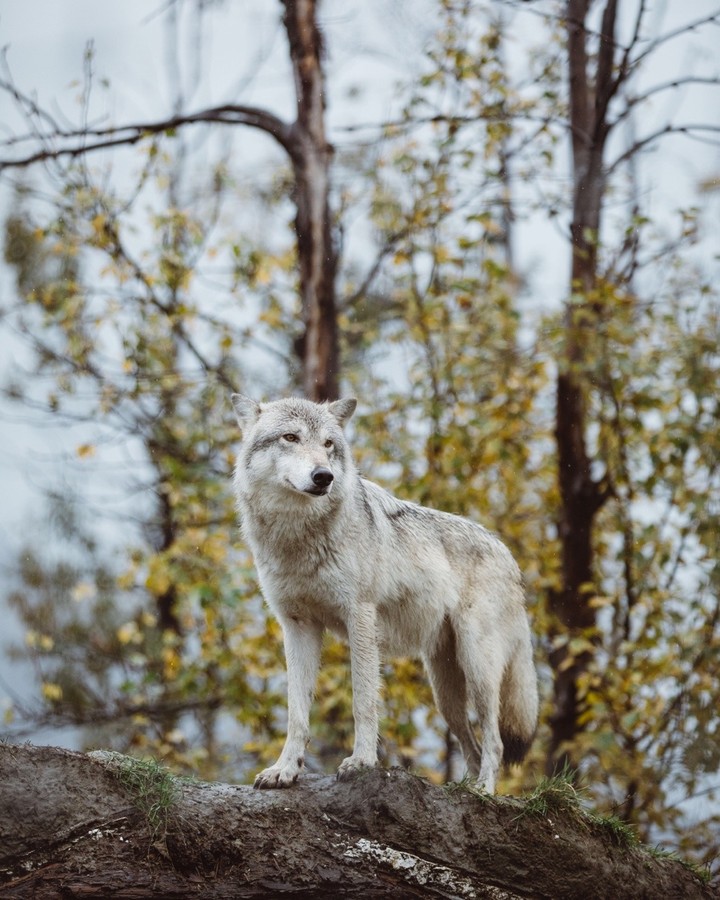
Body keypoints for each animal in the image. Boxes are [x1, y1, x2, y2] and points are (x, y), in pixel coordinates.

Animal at [231, 394, 538, 792]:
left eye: (328, 444)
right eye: (290, 437)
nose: (324, 477)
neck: (298, 537)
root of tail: (510, 558)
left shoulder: (360, 617)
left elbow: (363, 700)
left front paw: (361, 762)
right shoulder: (297, 626)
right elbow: (297, 712)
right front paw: (285, 769)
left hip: (478, 667)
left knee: (495, 740)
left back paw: (485, 791)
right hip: (445, 693)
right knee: (470, 746)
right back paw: (464, 790)